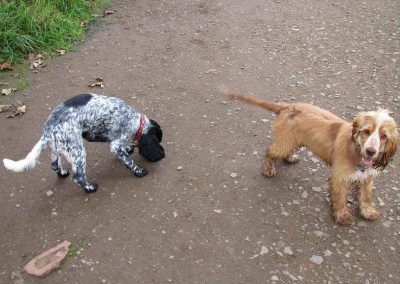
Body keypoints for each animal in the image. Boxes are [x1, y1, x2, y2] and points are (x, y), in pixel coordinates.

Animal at [1, 93, 164, 193]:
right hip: (78, 151)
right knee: (78, 177)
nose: (162, 154)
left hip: (59, 148)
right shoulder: (115, 144)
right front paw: (139, 171)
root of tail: (47, 131)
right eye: (156, 140)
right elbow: (129, 161)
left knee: (54, 165)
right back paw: (90, 188)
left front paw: (129, 149)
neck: (135, 121)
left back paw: (63, 173)